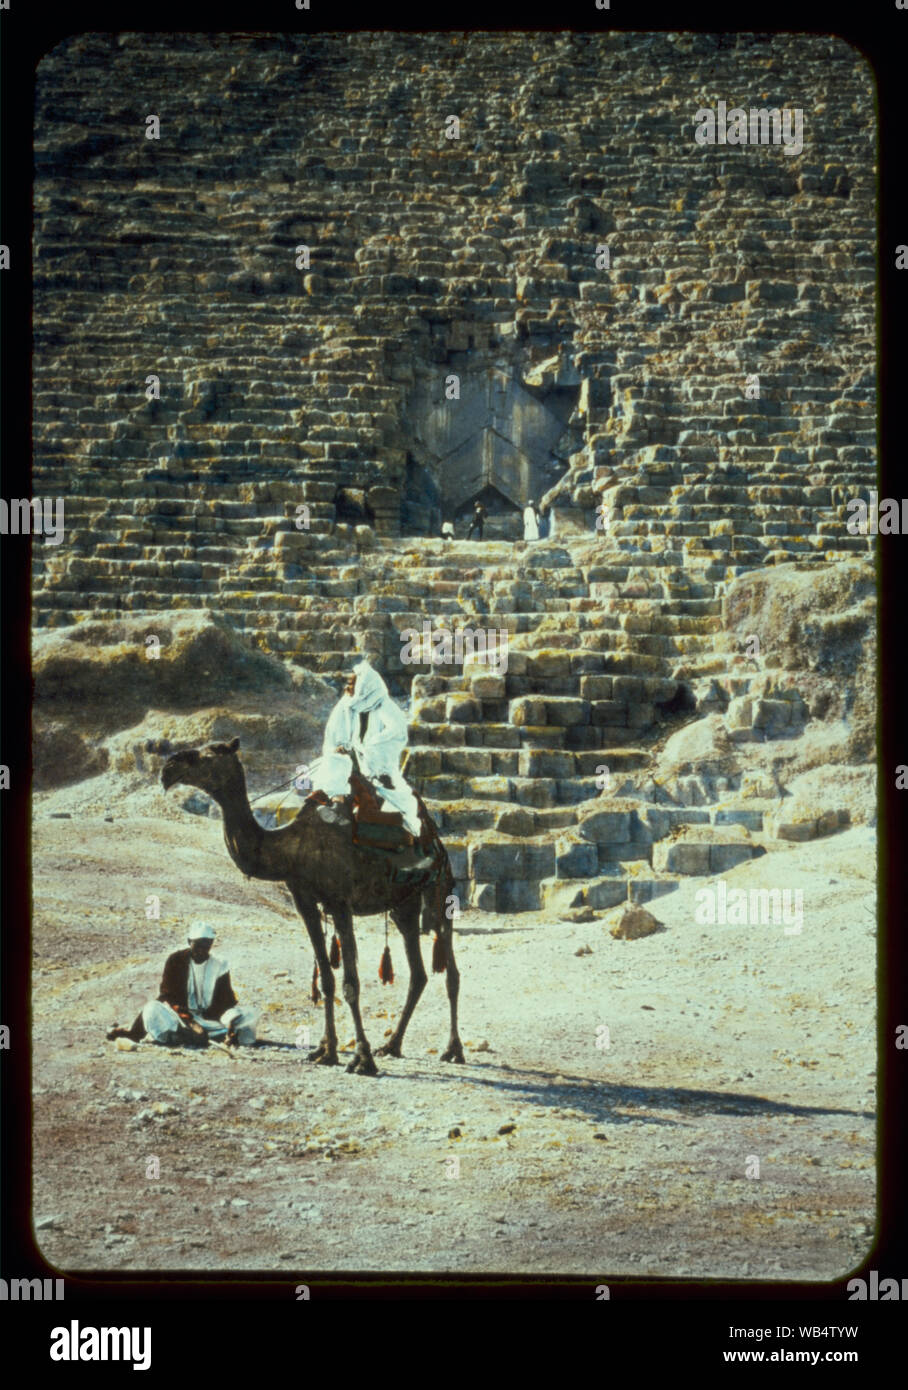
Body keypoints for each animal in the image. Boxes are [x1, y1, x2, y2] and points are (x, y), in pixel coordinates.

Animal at [157, 739, 461, 1073]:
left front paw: (361, 1059)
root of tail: (434, 834)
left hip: (440, 888)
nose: (167, 768)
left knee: (451, 971)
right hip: (403, 905)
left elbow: (350, 983)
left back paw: (452, 1050)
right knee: (418, 973)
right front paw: (325, 1051)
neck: (292, 850)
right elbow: (327, 979)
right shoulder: (305, 902)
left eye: (207, 754)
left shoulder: (340, 903)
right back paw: (392, 1045)